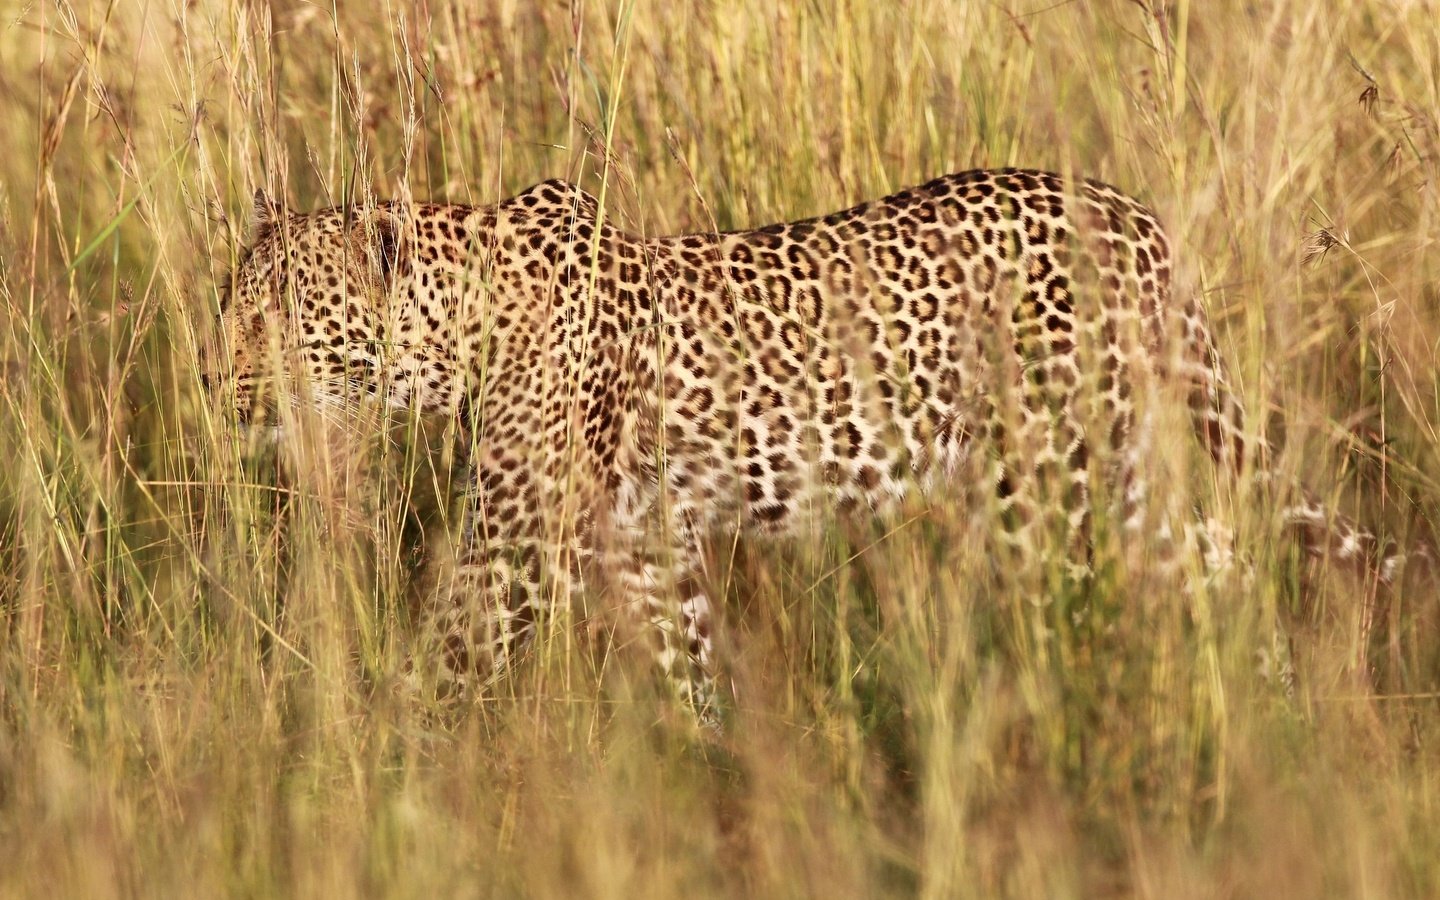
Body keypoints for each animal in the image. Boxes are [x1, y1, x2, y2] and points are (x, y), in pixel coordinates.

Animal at [216, 167, 1416, 722]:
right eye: (231, 302)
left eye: (274, 315)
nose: (213, 384)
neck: (456, 332)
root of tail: (1137, 218)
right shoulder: (646, 545)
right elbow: (687, 663)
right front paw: (712, 771)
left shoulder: (516, 545)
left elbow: (448, 660)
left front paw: (381, 773)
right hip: (1106, 472)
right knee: (1218, 557)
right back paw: (1271, 714)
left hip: (1052, 485)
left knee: (1137, 585)